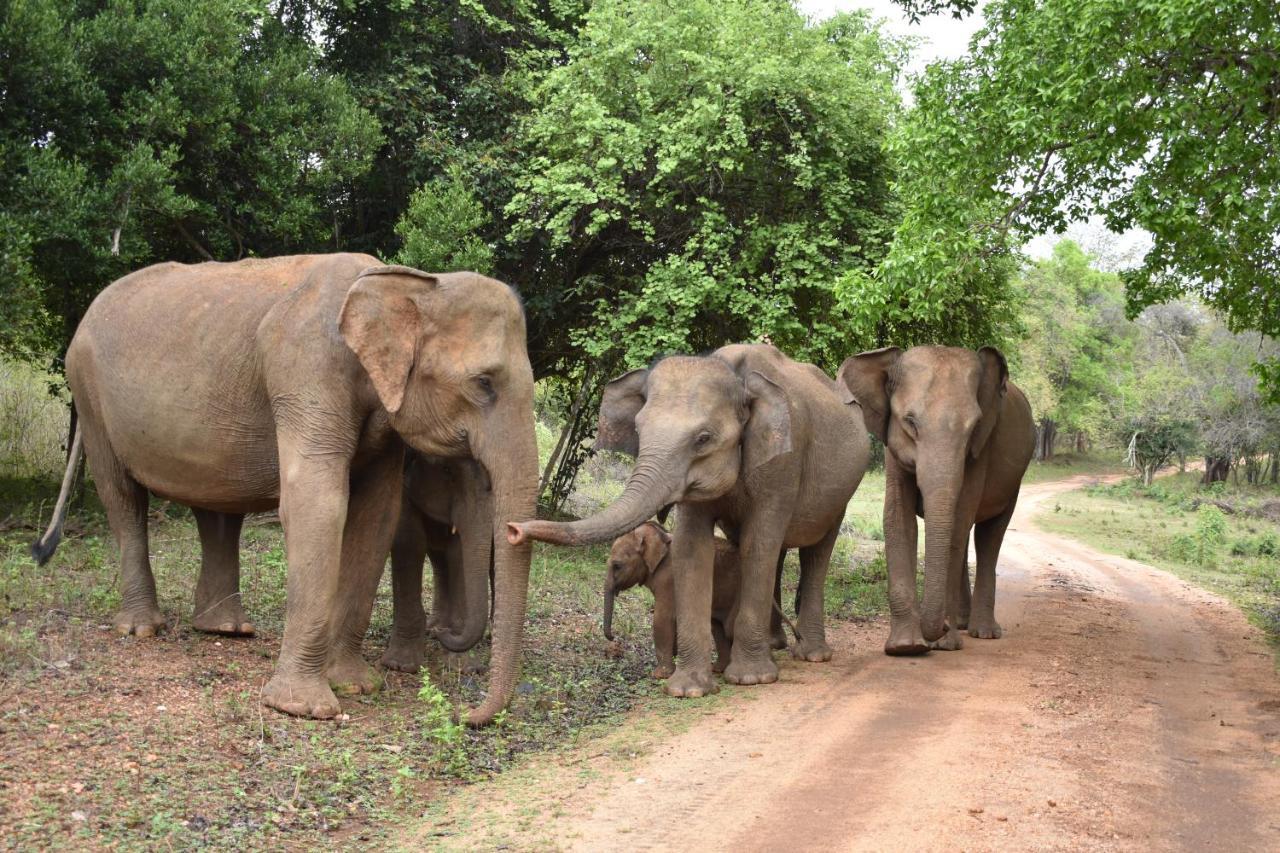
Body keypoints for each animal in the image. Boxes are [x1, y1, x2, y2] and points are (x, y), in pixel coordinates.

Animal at [31, 252, 535, 722]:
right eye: (484, 383)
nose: (461, 714)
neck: (407, 282)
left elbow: (377, 516)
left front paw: (356, 685)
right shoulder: (306, 371)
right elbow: (318, 504)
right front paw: (304, 708)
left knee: (216, 509)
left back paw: (225, 630)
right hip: (89, 396)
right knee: (123, 498)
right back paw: (141, 629)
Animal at [601, 517, 788, 676]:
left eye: (617, 566)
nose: (613, 638)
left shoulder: (669, 578)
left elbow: (662, 618)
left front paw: (659, 675)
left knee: (729, 627)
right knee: (718, 626)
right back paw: (718, 669)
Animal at [839, 343, 1039, 650]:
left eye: (974, 426)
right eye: (910, 422)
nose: (941, 628)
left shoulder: (981, 448)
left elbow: (958, 520)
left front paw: (944, 644)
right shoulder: (892, 449)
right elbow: (898, 519)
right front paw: (905, 646)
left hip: (1015, 480)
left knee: (989, 535)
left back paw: (982, 632)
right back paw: (962, 624)